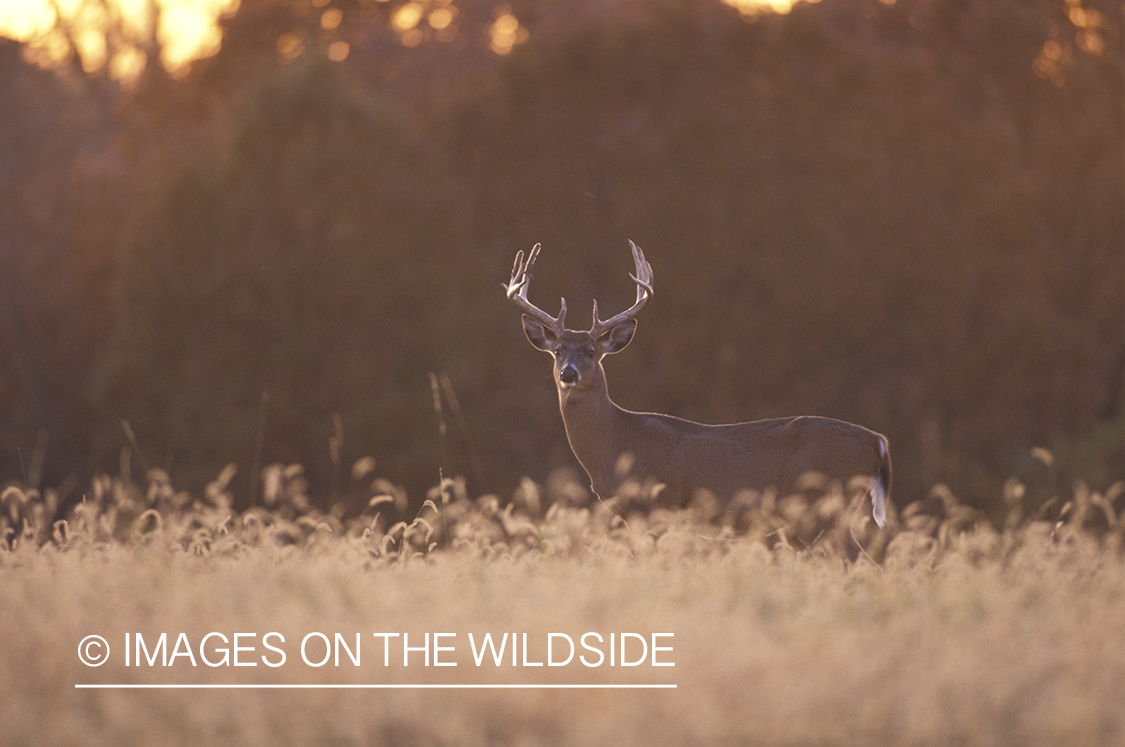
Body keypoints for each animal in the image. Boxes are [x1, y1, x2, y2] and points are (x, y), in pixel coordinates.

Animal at [508, 240, 886, 524]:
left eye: (590, 351)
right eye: (558, 350)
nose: (568, 374)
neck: (616, 444)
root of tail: (878, 442)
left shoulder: (662, 504)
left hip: (818, 505)